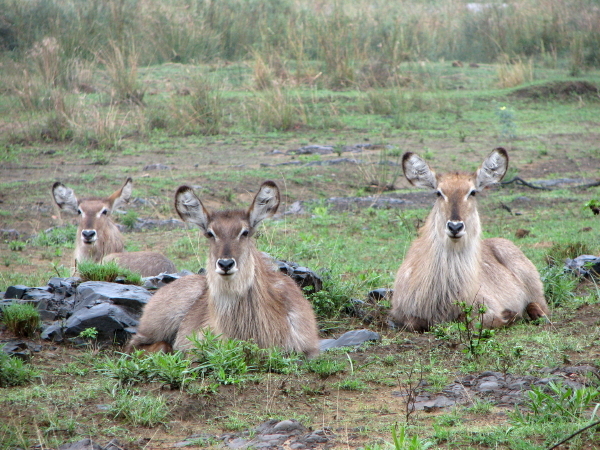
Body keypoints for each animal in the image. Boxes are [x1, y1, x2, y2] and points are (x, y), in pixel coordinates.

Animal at [389, 148, 550, 332]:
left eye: (472, 192)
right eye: (439, 192)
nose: (455, 226)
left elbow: (472, 321)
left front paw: (509, 316)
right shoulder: (402, 315)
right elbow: (415, 322)